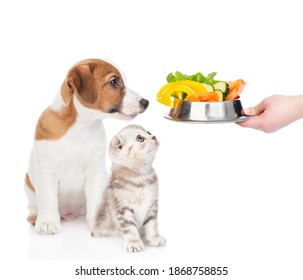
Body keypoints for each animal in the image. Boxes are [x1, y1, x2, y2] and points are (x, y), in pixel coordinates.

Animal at [24, 58, 150, 234]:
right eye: (113, 81)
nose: (146, 102)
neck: (81, 127)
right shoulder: (46, 171)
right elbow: (47, 198)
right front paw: (48, 222)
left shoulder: (95, 172)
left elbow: (95, 200)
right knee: (34, 205)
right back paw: (35, 217)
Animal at [92, 124, 167, 252]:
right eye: (140, 138)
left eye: (149, 132)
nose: (154, 137)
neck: (141, 177)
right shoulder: (123, 209)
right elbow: (130, 227)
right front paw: (134, 243)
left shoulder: (152, 205)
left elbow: (152, 224)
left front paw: (154, 238)